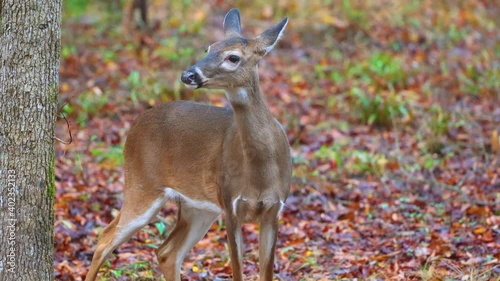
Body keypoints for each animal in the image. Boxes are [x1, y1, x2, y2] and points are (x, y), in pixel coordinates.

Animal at [84, 8, 292, 280]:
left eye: (233, 57)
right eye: (208, 48)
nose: (188, 75)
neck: (261, 173)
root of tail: (136, 124)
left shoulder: (274, 211)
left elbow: (265, 273)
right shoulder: (230, 205)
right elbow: (237, 272)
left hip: (198, 207)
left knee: (166, 252)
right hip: (142, 185)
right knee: (106, 238)